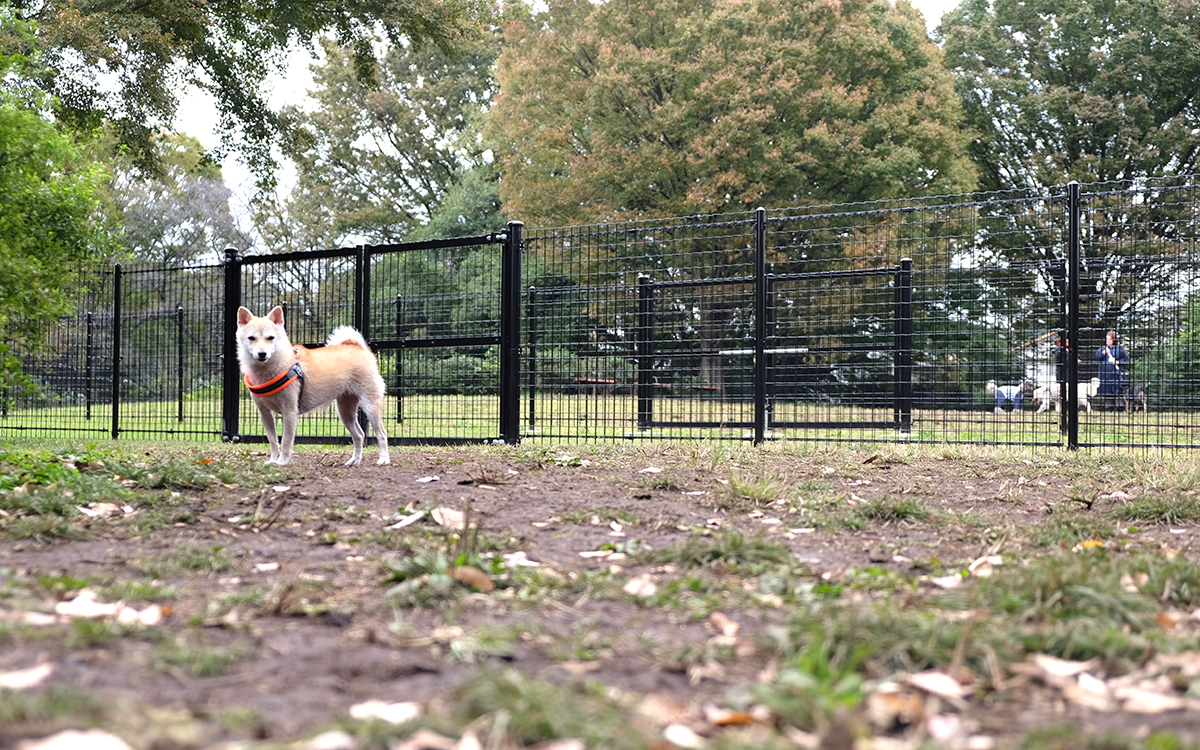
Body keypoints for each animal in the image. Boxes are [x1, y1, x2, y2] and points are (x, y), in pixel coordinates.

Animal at [231, 304, 386, 463]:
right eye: (251, 338)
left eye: (270, 338)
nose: (262, 354)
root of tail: (357, 347)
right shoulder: (264, 413)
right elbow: (273, 441)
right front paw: (273, 460)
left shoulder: (290, 411)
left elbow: (286, 441)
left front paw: (282, 462)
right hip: (346, 411)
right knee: (359, 435)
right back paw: (355, 460)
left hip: (370, 406)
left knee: (382, 434)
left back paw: (384, 458)